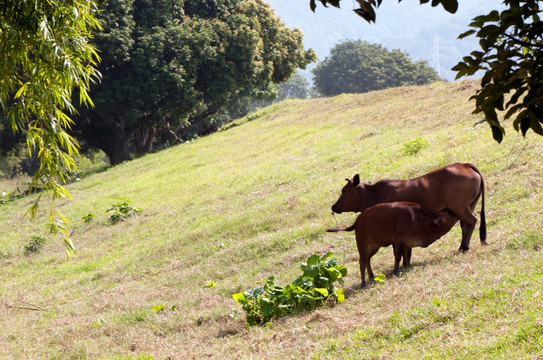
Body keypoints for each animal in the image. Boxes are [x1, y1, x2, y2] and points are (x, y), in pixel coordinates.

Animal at [328, 201, 460, 286]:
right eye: (448, 214)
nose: (457, 214)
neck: (417, 220)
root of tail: (358, 220)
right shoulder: (398, 241)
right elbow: (398, 256)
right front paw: (395, 271)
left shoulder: (406, 243)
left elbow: (407, 255)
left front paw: (408, 266)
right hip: (362, 244)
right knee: (362, 262)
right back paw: (363, 282)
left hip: (374, 246)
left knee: (367, 260)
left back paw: (372, 276)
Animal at [332, 163, 488, 253]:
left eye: (344, 190)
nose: (334, 206)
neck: (374, 193)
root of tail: (464, 165)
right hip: (467, 207)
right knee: (465, 225)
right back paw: (462, 246)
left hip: (460, 207)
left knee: (472, 221)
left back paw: (465, 247)